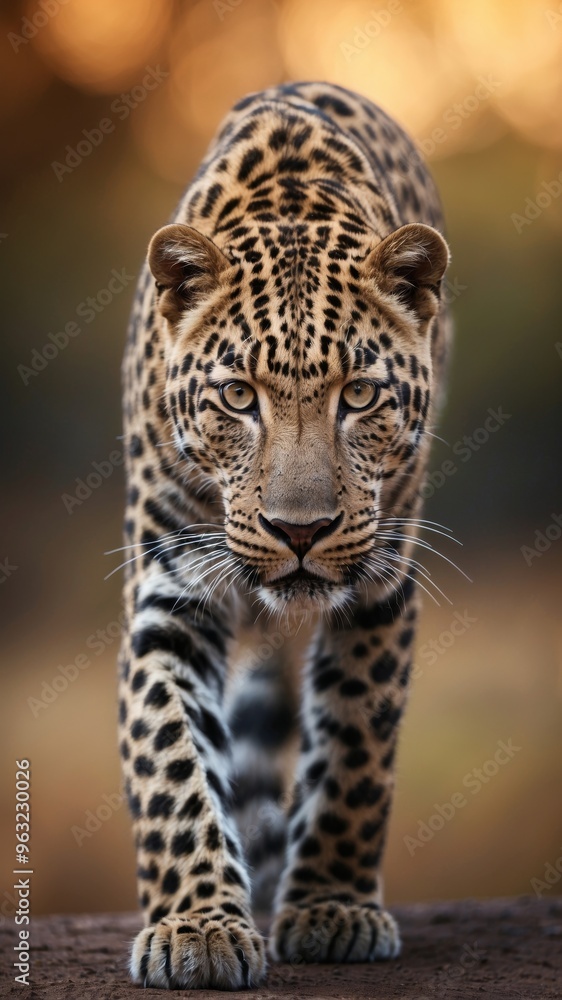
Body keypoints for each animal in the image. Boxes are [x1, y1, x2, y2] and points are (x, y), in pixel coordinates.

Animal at [117, 80, 451, 990]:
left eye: (360, 395)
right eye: (238, 396)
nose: (299, 532)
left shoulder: (381, 585)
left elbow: (356, 752)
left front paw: (332, 906)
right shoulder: (171, 594)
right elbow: (170, 759)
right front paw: (197, 925)